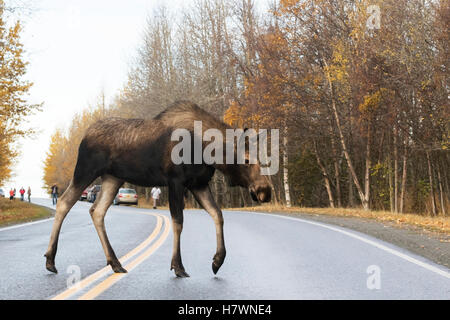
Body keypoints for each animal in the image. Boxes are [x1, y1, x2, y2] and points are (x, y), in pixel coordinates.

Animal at [44, 100, 270, 278]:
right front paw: (178, 266)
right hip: (86, 170)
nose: (265, 190)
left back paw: (115, 263)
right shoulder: (176, 181)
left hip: (113, 178)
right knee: (64, 202)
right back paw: (50, 261)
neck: (208, 151)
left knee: (97, 210)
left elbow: (218, 214)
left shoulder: (198, 183)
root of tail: (84, 136)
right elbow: (178, 221)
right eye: (246, 160)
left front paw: (217, 261)